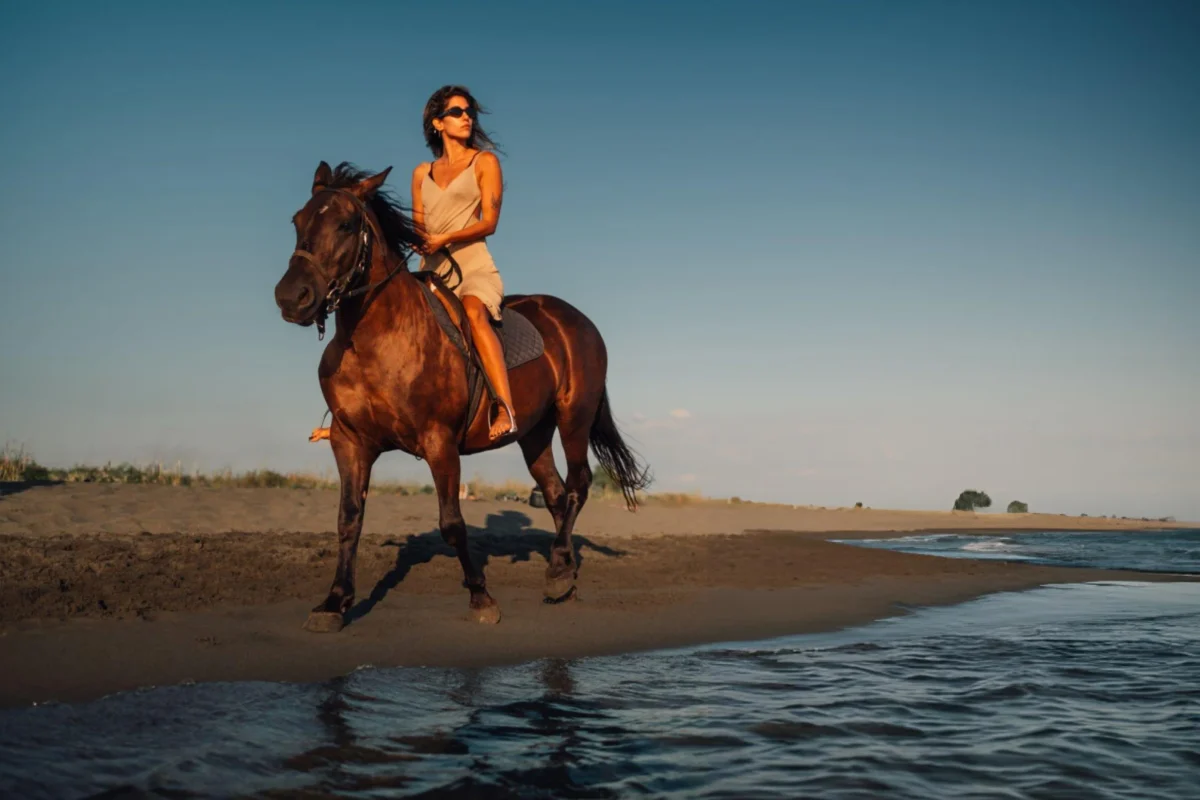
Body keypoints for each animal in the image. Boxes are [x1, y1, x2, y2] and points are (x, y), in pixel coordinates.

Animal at [273, 161, 652, 632]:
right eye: (297, 221)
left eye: (345, 224)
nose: (291, 298)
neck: (373, 340)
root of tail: (578, 320)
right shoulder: (350, 441)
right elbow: (348, 519)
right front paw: (334, 602)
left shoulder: (440, 443)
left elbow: (452, 523)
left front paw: (481, 597)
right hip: (534, 433)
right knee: (556, 493)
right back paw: (561, 574)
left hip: (573, 418)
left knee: (578, 486)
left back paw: (559, 568)